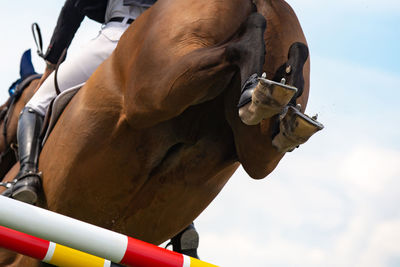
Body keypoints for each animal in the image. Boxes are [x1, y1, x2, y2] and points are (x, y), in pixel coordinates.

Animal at [0, 0, 322, 266]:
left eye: (5, 106)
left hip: (153, 90)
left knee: (235, 47)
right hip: (251, 145)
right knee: (265, 143)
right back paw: (279, 101)